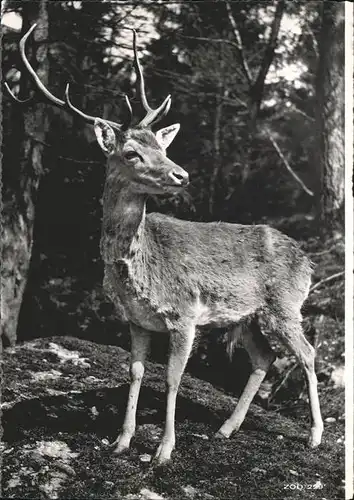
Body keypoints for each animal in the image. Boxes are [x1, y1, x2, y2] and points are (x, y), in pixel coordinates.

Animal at [7, 24, 324, 464]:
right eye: (131, 152)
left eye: (163, 146)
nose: (181, 174)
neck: (137, 271)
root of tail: (309, 262)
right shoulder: (135, 320)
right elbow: (135, 372)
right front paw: (121, 440)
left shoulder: (185, 314)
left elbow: (173, 378)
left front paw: (164, 449)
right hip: (247, 316)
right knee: (266, 357)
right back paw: (226, 428)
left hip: (285, 305)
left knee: (307, 353)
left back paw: (315, 435)